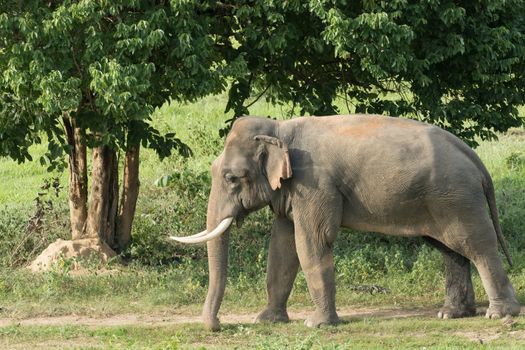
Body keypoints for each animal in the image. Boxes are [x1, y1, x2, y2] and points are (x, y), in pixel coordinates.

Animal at [170, 115, 516, 330]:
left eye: (232, 178)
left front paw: (317, 324)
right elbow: (281, 249)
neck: (279, 128)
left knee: (476, 244)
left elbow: (311, 243)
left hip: (456, 197)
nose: (217, 326)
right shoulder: (293, 190)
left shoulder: (315, 184)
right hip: (439, 199)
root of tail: (473, 157)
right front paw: (266, 321)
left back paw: (499, 314)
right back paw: (451, 315)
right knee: (449, 248)